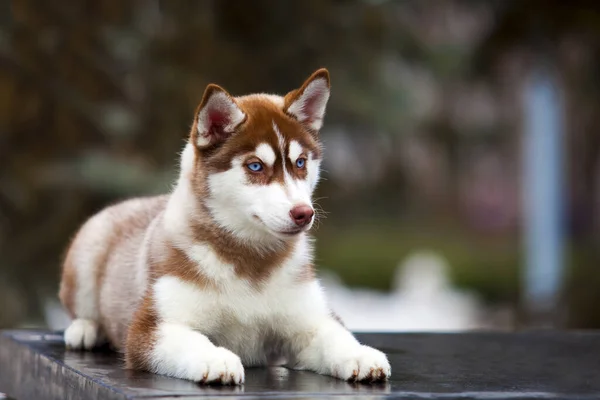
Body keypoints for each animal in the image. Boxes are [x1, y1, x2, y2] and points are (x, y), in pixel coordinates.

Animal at [58, 69, 392, 384]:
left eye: (300, 163)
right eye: (255, 166)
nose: (304, 213)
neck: (251, 258)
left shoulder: (309, 320)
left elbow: (335, 335)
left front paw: (361, 354)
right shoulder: (152, 327)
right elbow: (191, 340)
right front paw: (215, 358)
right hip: (89, 248)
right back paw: (85, 330)